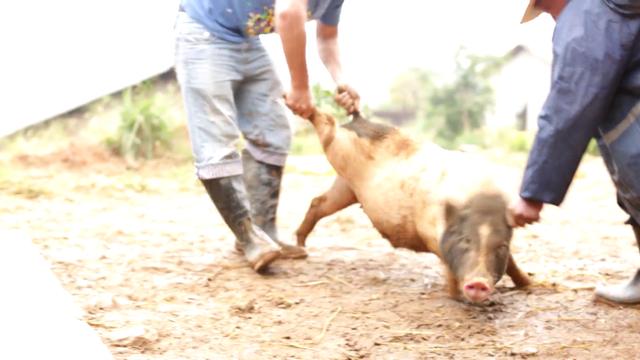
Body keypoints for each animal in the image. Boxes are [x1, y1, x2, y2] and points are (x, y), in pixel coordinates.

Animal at [296, 109, 528, 304]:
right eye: (465, 239)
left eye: (501, 246)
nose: (479, 282)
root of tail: (358, 119)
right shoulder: (430, 234)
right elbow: (448, 266)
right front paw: (456, 297)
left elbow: (512, 263)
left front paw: (530, 284)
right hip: (339, 147)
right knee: (327, 123)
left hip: (345, 187)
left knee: (317, 203)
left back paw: (301, 245)